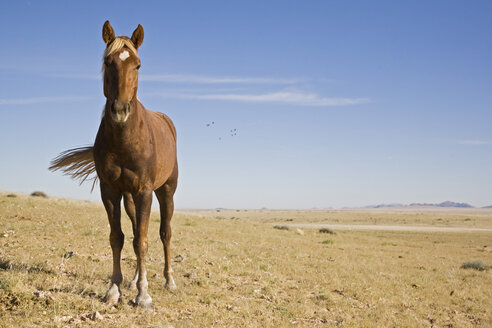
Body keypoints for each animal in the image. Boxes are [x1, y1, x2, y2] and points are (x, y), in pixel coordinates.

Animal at [49, 19, 179, 308]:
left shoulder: (145, 192)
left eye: (138, 65)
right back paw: (134, 279)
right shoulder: (109, 190)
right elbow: (118, 238)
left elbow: (142, 241)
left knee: (165, 233)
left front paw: (143, 295)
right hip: (129, 198)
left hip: (166, 191)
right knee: (134, 231)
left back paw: (169, 280)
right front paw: (115, 289)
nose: (120, 111)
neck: (124, 141)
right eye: (108, 62)